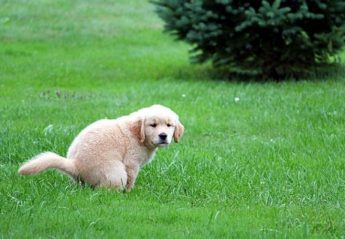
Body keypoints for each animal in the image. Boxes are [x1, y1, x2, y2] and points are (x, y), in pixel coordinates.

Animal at [16, 105, 183, 191]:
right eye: (153, 125)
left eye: (169, 125)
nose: (163, 136)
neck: (137, 134)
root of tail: (74, 165)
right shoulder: (131, 163)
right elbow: (131, 179)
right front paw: (129, 192)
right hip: (116, 173)